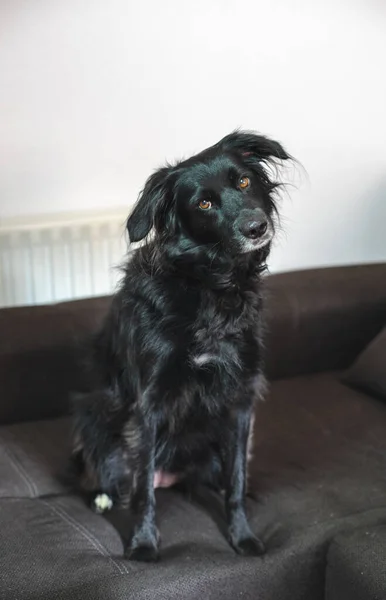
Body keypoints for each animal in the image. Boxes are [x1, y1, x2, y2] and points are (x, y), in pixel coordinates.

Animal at [71, 130, 292, 564]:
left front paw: (243, 537)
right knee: (109, 475)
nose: (256, 226)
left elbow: (236, 482)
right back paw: (104, 498)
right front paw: (143, 544)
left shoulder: (240, 402)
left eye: (244, 181)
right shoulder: (149, 403)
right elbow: (142, 491)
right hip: (94, 416)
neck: (212, 287)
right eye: (203, 204)